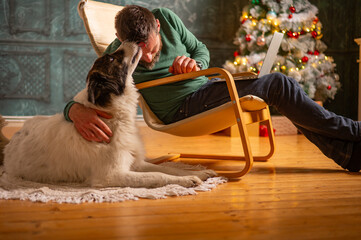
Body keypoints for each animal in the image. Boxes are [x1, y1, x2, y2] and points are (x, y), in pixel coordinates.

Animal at [0, 42, 217, 188]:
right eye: (111, 58)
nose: (132, 39)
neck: (110, 114)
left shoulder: (136, 163)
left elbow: (167, 168)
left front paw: (197, 173)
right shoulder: (111, 175)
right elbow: (157, 176)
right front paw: (187, 180)